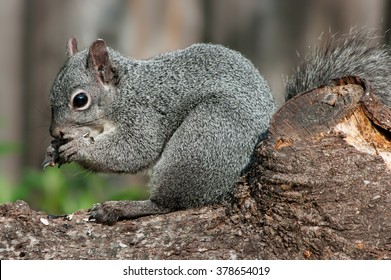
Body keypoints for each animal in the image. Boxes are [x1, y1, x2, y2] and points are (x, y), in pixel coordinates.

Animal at [41, 37, 278, 225]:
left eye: (80, 100)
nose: (55, 132)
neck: (125, 93)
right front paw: (54, 150)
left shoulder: (145, 116)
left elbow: (135, 150)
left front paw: (78, 147)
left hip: (206, 135)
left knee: (168, 204)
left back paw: (119, 208)